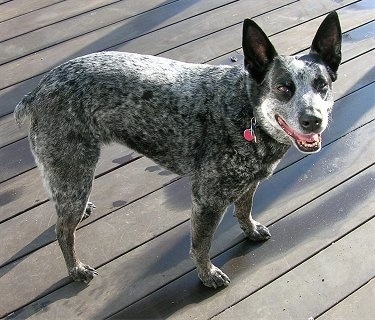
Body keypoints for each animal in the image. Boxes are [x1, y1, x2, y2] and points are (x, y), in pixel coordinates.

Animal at [14, 11, 344, 288]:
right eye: (283, 87)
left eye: (322, 85)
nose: (313, 119)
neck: (245, 111)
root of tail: (37, 90)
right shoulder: (207, 201)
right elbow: (201, 245)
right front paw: (206, 274)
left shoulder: (248, 183)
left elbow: (244, 209)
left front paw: (249, 229)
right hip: (75, 174)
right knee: (62, 232)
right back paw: (76, 269)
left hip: (71, 180)